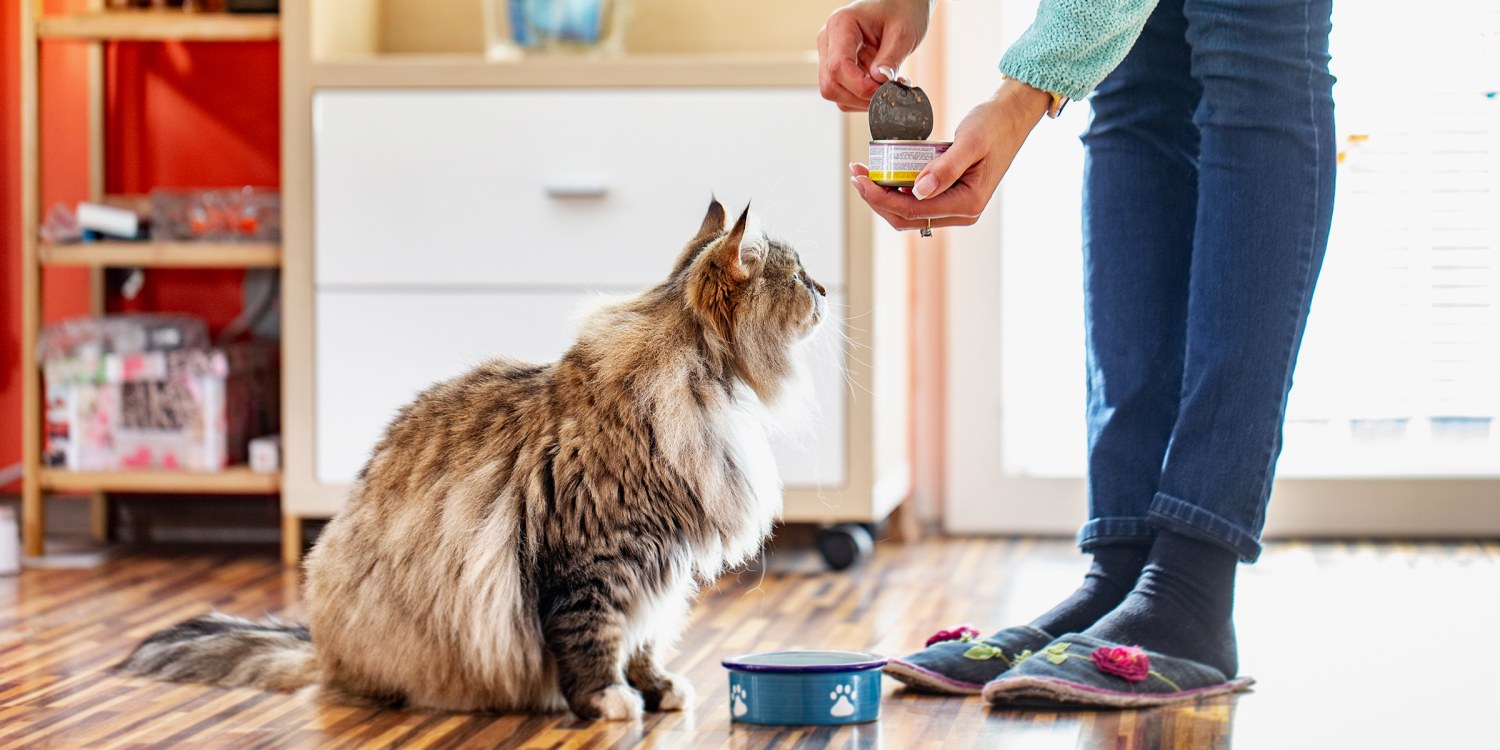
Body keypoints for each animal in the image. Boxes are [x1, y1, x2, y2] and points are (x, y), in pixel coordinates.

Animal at [117, 198, 834, 720]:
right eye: (799, 276)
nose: (827, 290)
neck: (704, 391)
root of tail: (320, 646)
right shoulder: (596, 560)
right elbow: (595, 640)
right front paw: (608, 702)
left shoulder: (663, 566)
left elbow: (647, 637)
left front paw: (656, 690)